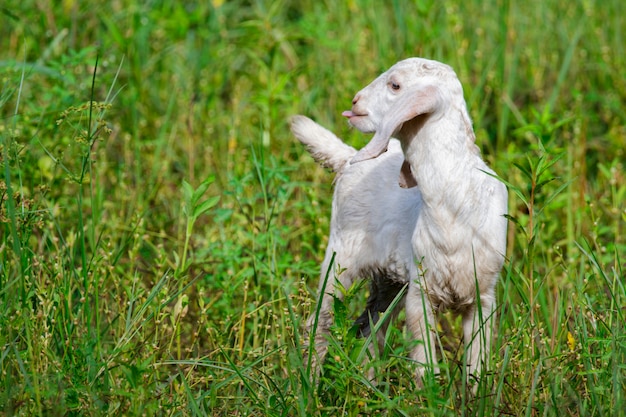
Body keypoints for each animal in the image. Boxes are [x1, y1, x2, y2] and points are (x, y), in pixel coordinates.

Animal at [292, 57, 508, 386]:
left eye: (395, 85)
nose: (354, 102)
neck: (455, 202)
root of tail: (347, 157)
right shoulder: (421, 290)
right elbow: (424, 363)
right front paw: (426, 395)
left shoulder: (483, 296)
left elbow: (476, 367)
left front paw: (477, 395)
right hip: (339, 261)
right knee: (321, 325)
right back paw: (309, 387)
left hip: (388, 280)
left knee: (368, 327)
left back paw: (368, 385)